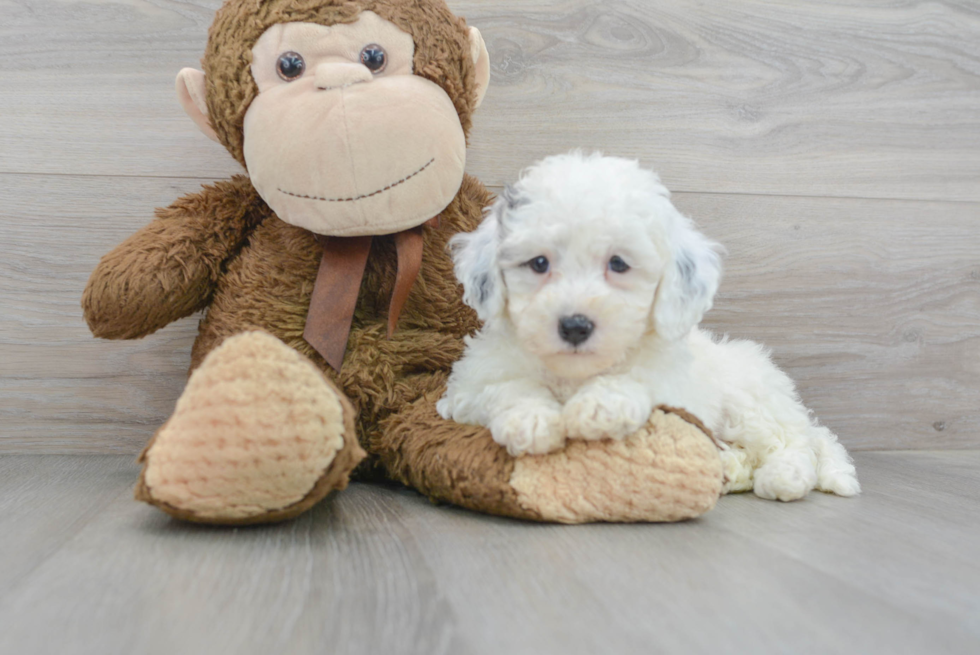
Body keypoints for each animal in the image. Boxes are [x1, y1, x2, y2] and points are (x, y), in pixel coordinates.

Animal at [436, 151, 856, 500]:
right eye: (539, 263)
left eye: (618, 263)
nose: (575, 326)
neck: (574, 374)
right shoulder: (465, 390)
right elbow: (506, 387)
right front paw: (530, 418)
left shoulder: (674, 386)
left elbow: (639, 379)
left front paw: (601, 405)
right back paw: (730, 468)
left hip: (751, 402)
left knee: (796, 442)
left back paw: (784, 476)